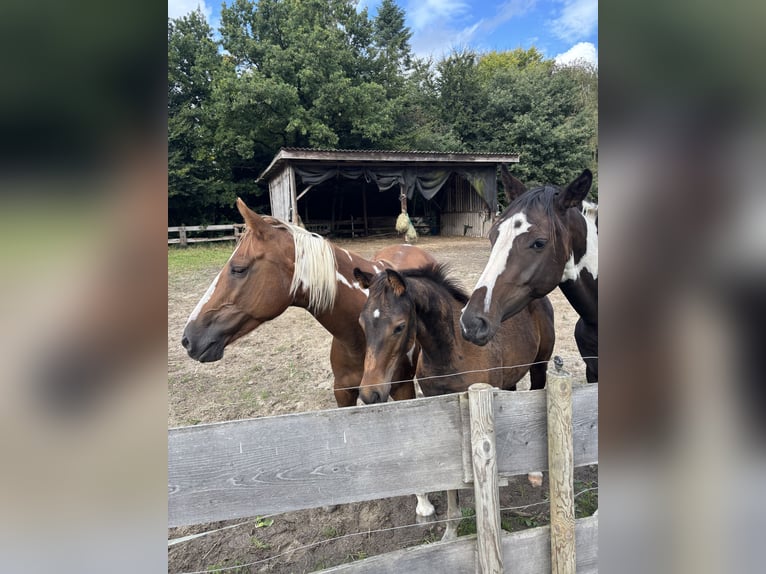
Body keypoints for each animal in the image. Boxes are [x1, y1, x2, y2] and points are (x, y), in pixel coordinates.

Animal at [353, 264, 555, 538]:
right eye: (362, 323)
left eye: (399, 326)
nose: (369, 394)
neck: (451, 353)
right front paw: (450, 532)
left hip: (540, 365)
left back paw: (534, 473)